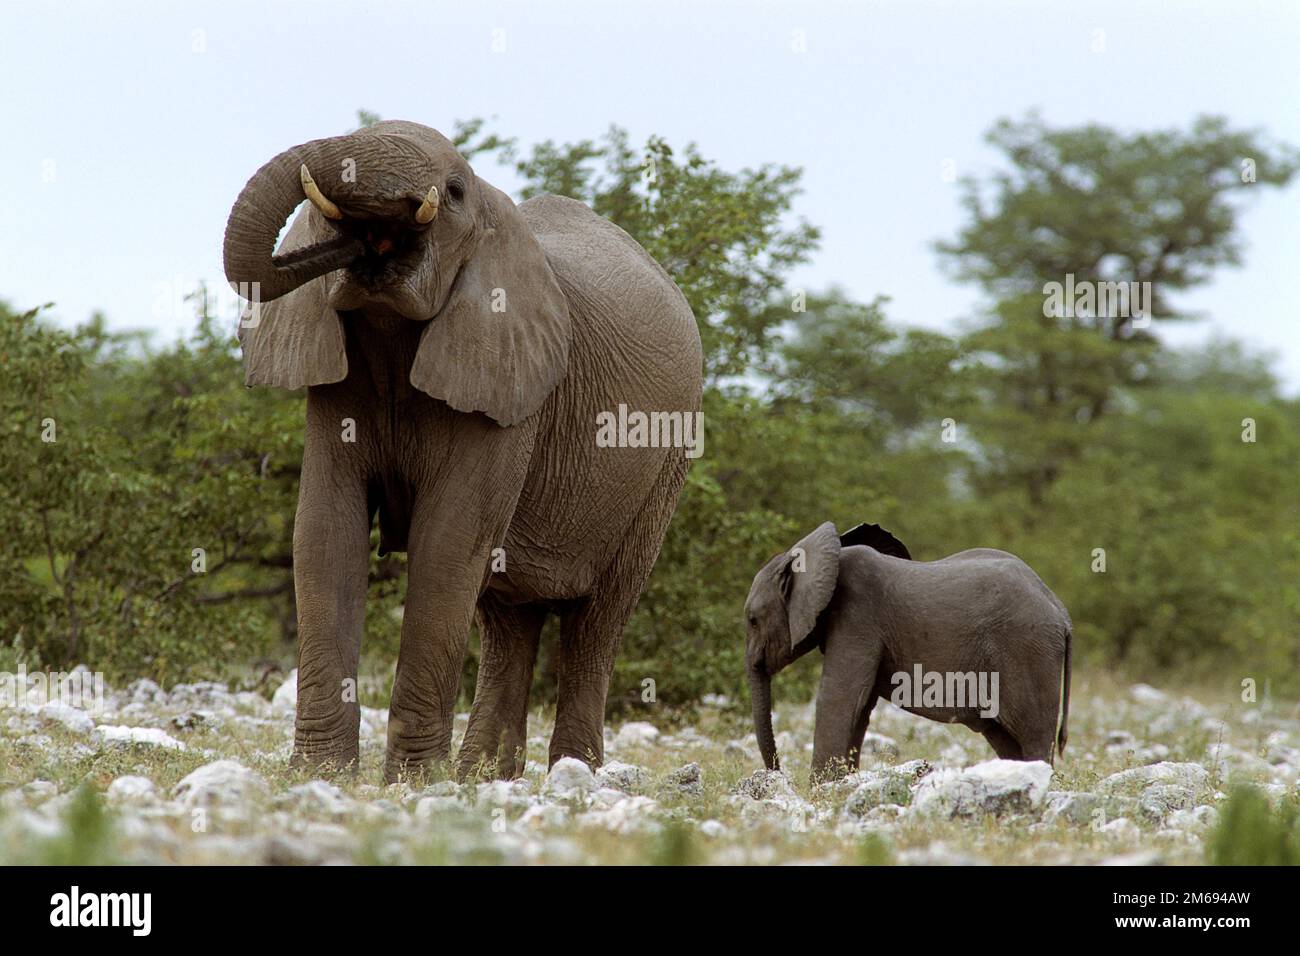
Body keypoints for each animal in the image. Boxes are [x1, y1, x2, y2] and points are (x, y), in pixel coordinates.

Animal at [228, 119, 707, 780]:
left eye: (454, 191)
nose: (366, 248)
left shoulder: (511, 388)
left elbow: (448, 540)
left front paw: (412, 781)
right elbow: (326, 533)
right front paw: (321, 774)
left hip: (665, 462)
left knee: (597, 619)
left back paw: (573, 773)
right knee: (507, 617)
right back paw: (483, 776)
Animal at [748, 520, 1071, 780]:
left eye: (752, 620)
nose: (778, 774)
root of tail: (1060, 610)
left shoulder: (857, 616)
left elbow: (840, 696)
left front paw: (821, 792)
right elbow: (860, 707)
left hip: (1027, 650)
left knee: (1033, 735)